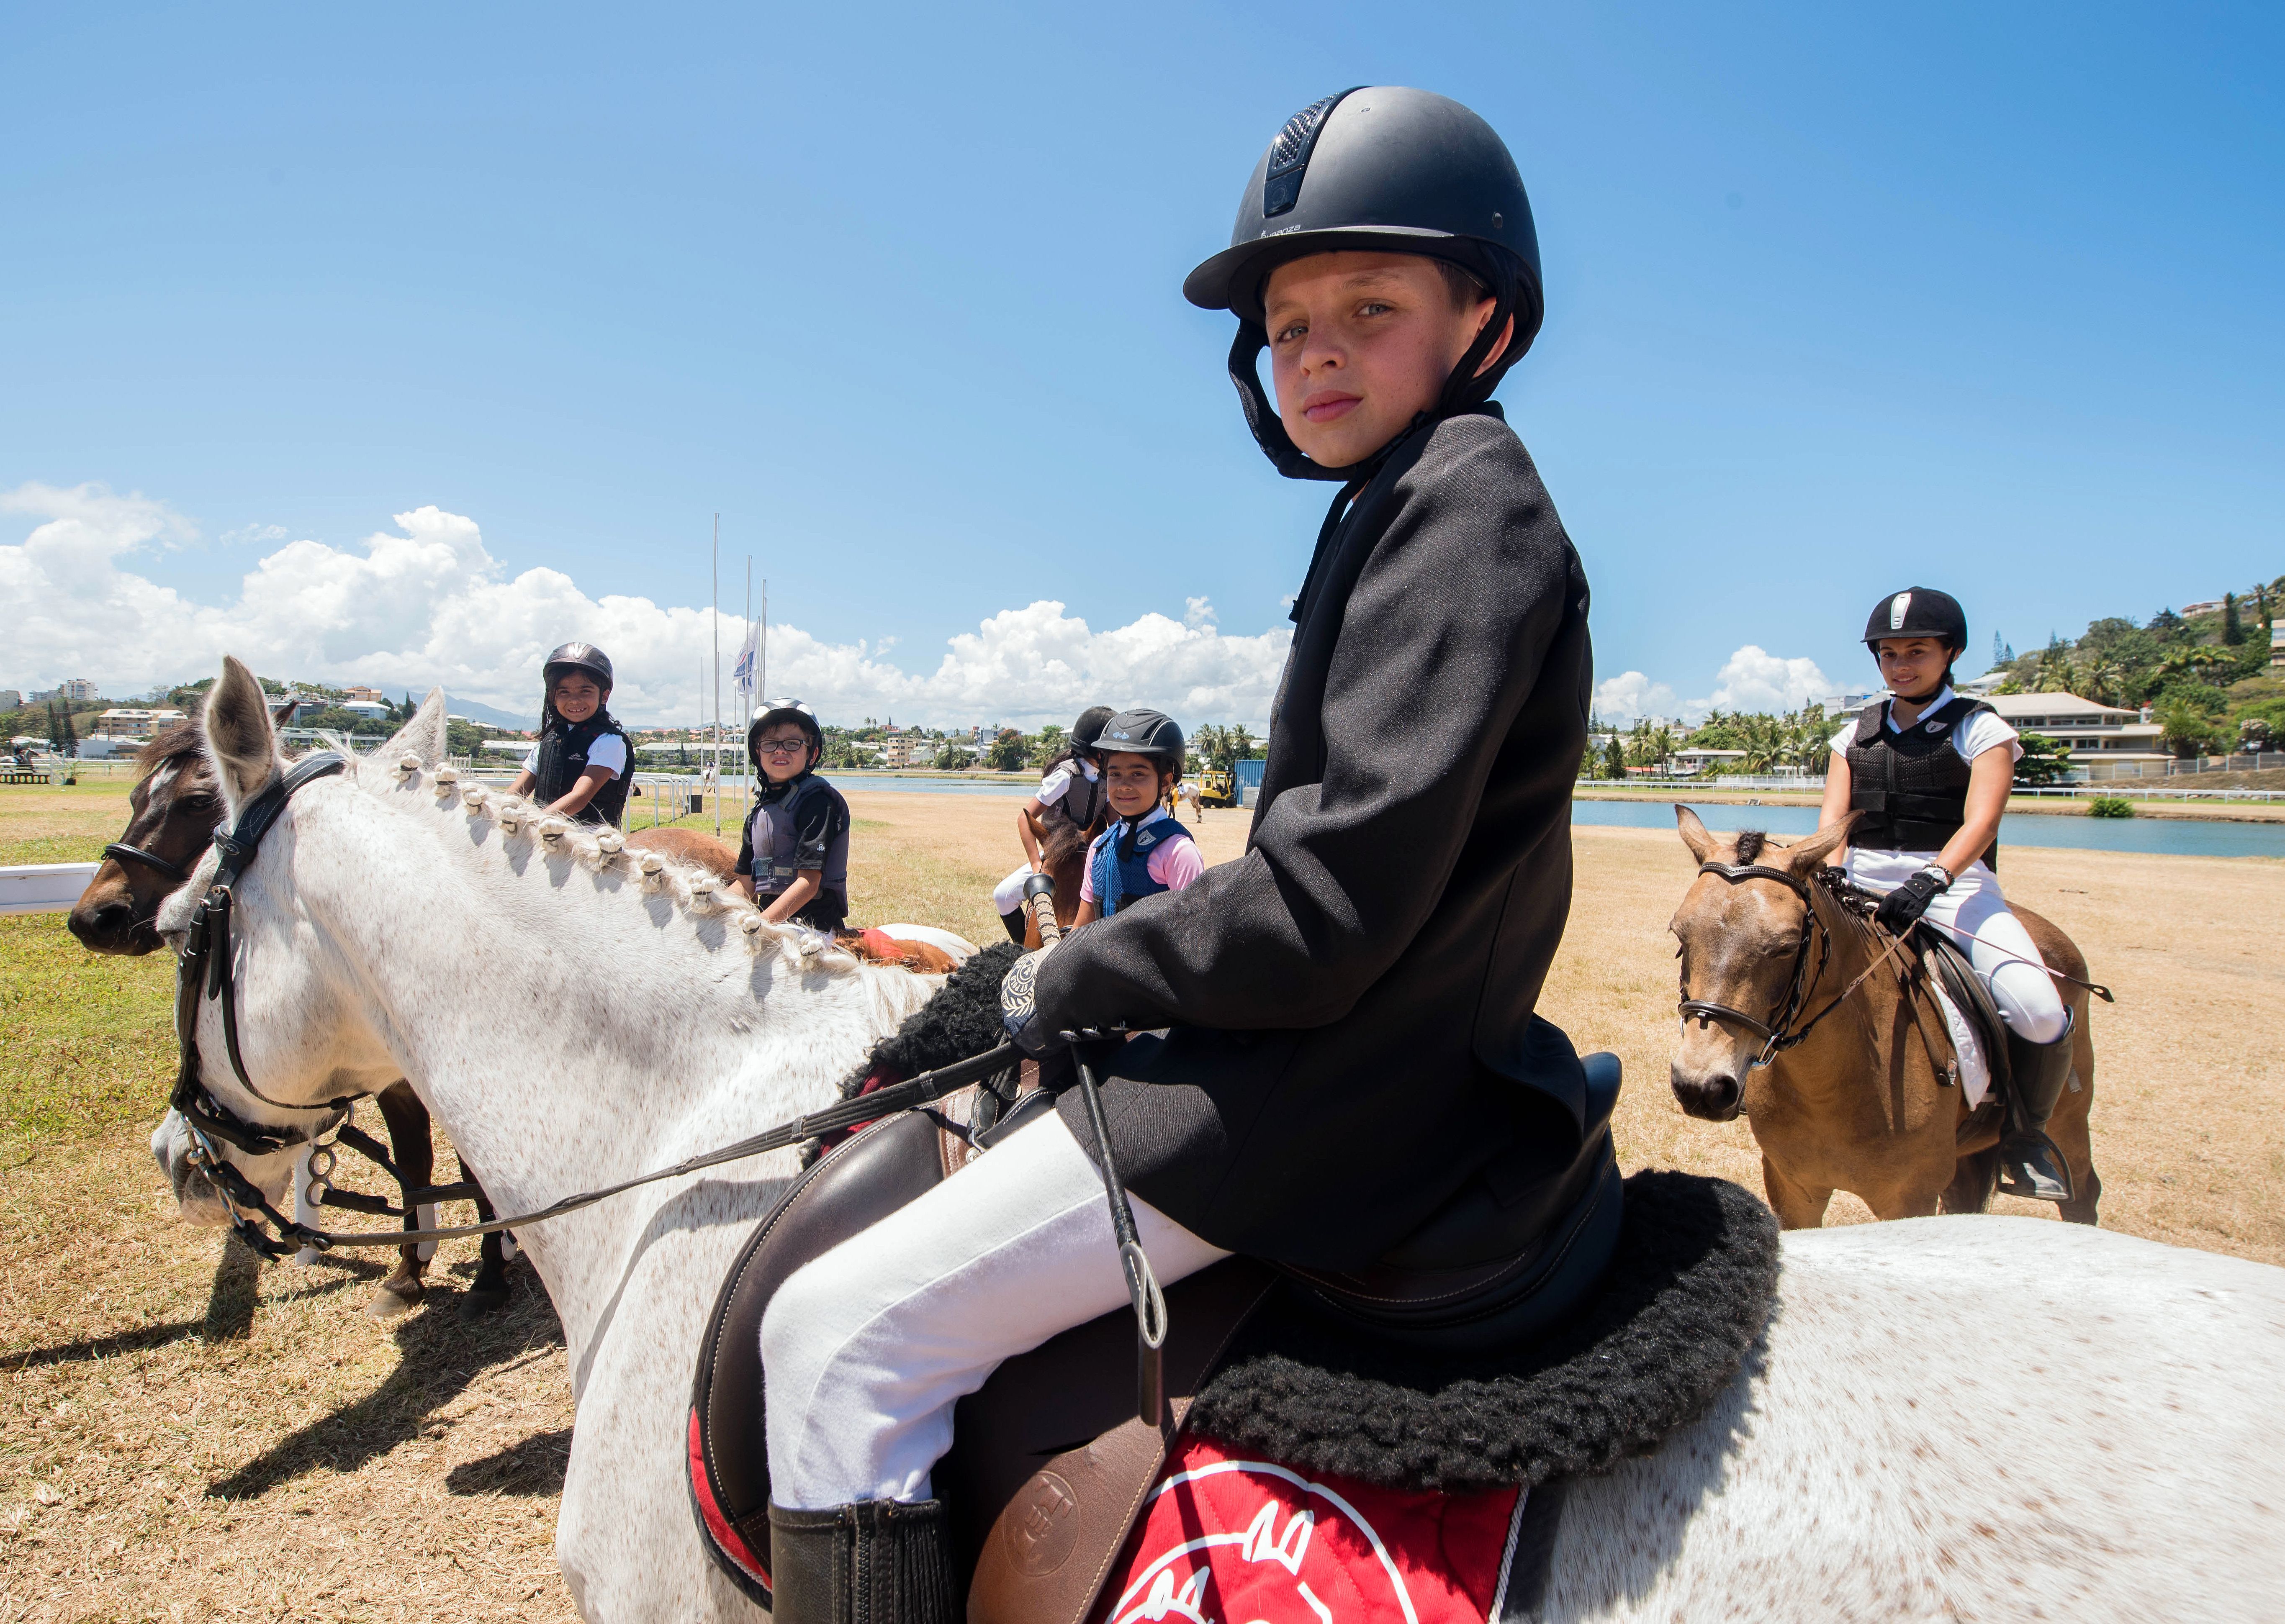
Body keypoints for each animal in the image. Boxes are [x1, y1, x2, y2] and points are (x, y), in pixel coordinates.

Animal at [1663, 813, 2102, 1233]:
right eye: (1680, 935)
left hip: (2068, 1118)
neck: (1828, 1088)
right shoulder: (1794, 1190)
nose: (1702, 1087)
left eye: (1785, 947)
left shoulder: (1909, 1198)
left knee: (2083, 1192)